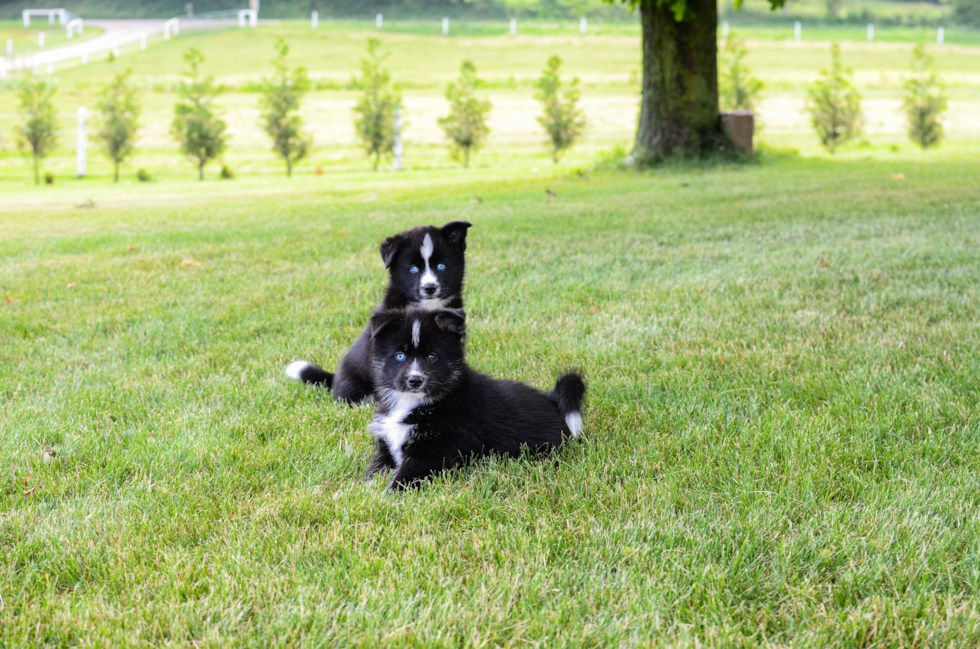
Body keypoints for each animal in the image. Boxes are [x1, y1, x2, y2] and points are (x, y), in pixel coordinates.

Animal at [364, 306, 584, 488]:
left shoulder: (431, 454)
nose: (415, 380)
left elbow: (403, 479)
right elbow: (374, 472)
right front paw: (363, 491)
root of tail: (554, 402)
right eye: (400, 355)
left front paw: (386, 499)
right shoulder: (387, 447)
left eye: (432, 357)